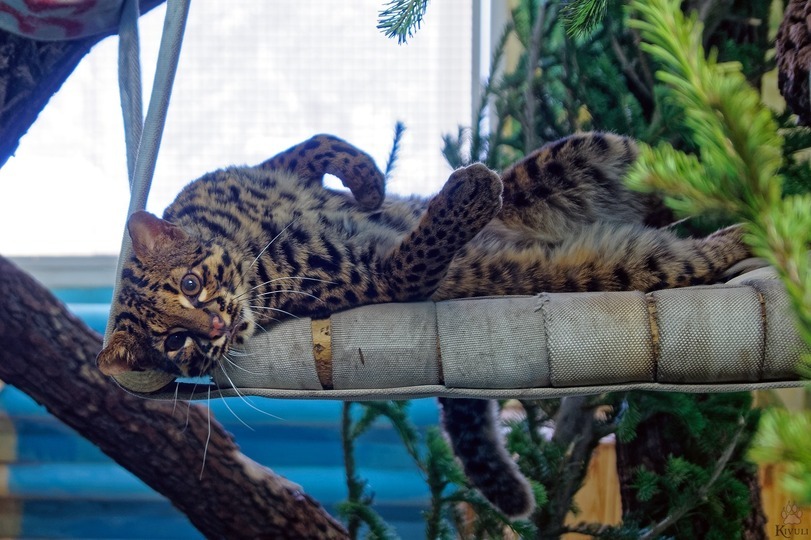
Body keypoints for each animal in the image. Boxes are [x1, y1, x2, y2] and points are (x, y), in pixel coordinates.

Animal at [95, 132, 748, 520]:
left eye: (189, 285)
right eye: (174, 344)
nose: (211, 326)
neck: (257, 257)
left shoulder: (263, 173)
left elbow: (314, 147)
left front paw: (368, 183)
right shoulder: (380, 277)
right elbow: (419, 248)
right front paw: (462, 193)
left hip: (590, 152)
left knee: (639, 173)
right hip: (605, 265)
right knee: (671, 255)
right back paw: (738, 238)